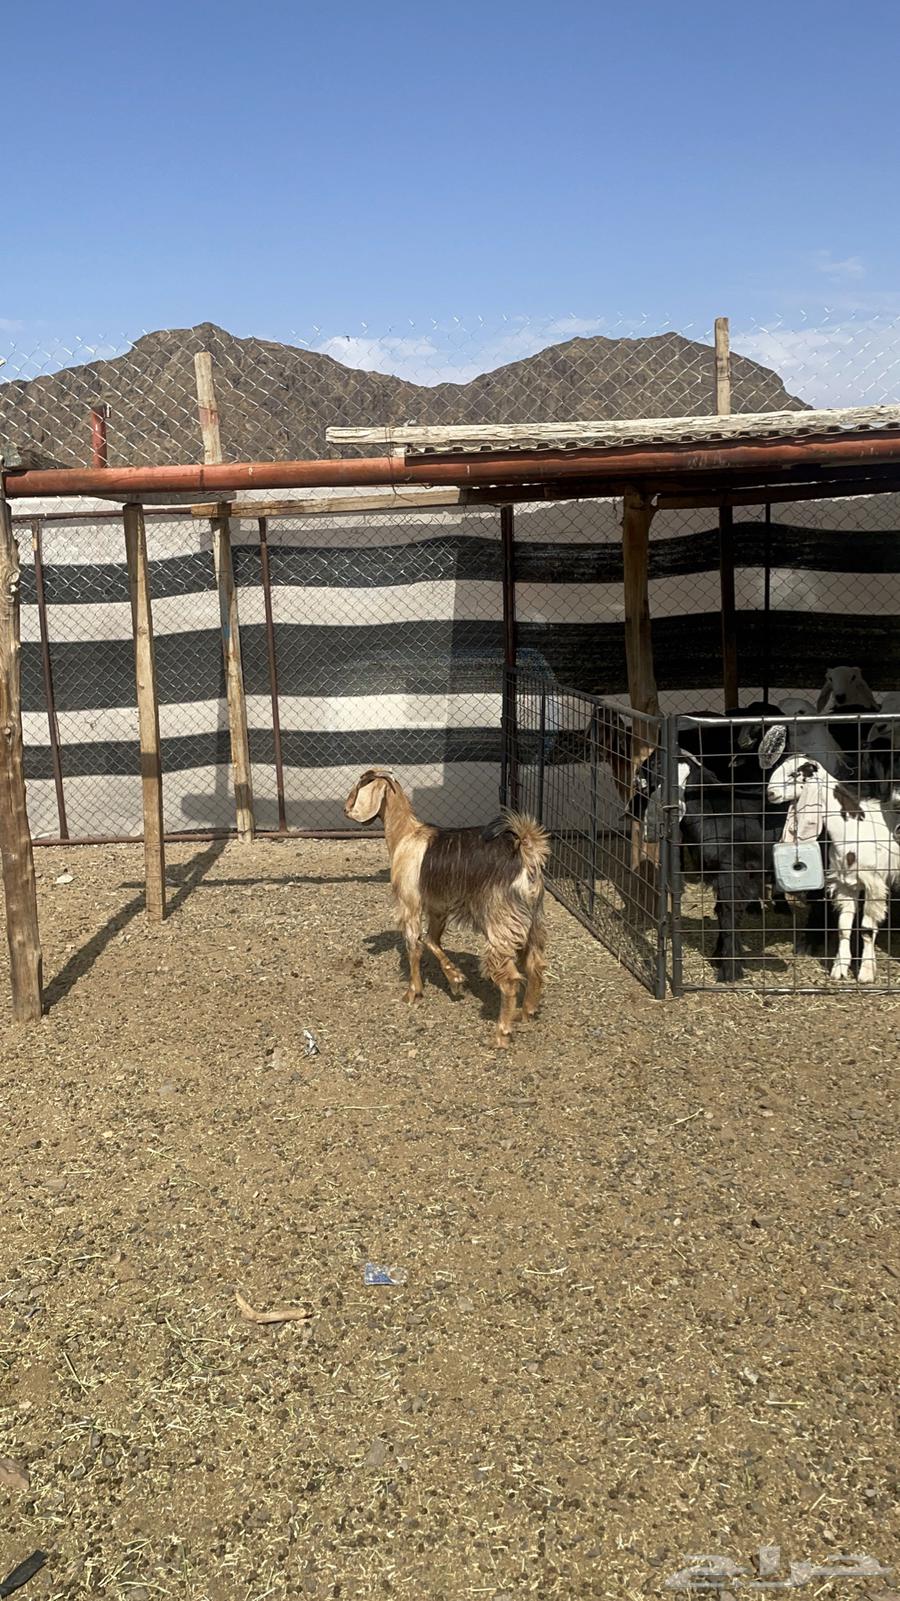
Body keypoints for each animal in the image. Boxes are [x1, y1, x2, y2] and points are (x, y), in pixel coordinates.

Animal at [344, 769, 549, 1047]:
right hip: (533, 921)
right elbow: (432, 940)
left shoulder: (409, 905)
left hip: (501, 923)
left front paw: (413, 992)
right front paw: (455, 979)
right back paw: (525, 1013)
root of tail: (526, 854)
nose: (345, 809)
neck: (405, 835)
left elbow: (414, 946)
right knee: (534, 965)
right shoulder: (438, 908)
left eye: (359, 785)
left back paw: (501, 1033)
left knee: (509, 980)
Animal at [766, 755, 900, 983]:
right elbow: (844, 927)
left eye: (794, 773)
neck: (854, 826)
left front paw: (866, 973)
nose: (770, 794)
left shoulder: (874, 882)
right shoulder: (846, 883)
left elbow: (866, 929)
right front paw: (839, 969)